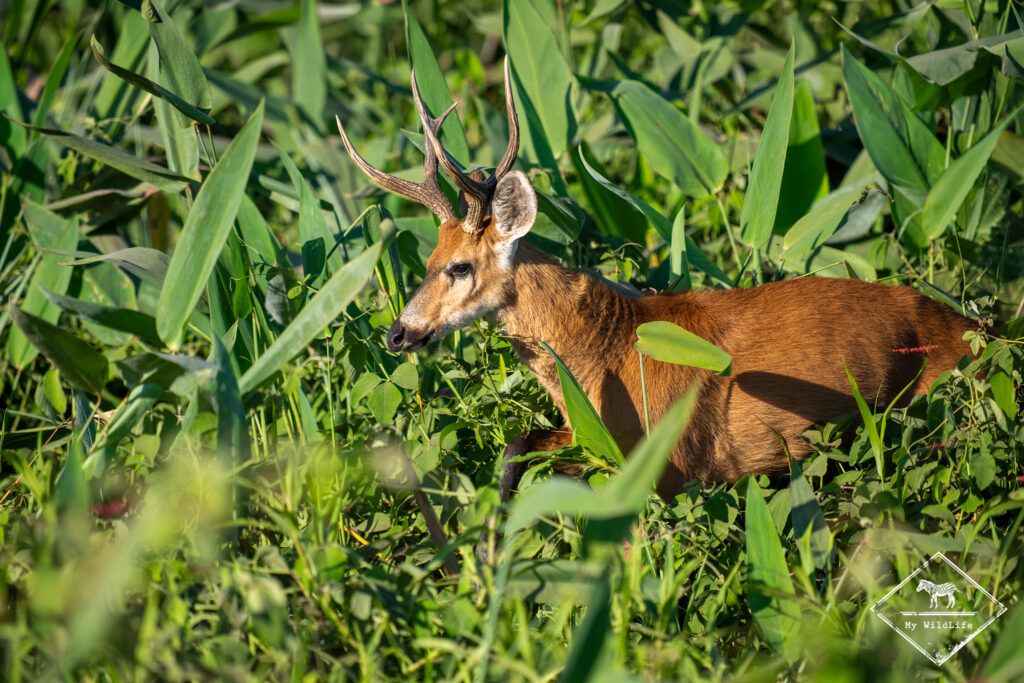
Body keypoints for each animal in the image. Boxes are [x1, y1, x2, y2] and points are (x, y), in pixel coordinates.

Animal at [335, 58, 976, 503]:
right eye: (427, 260)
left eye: (460, 266)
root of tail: (973, 329)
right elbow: (516, 452)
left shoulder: (667, 465)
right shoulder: (584, 431)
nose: (397, 334)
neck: (608, 349)